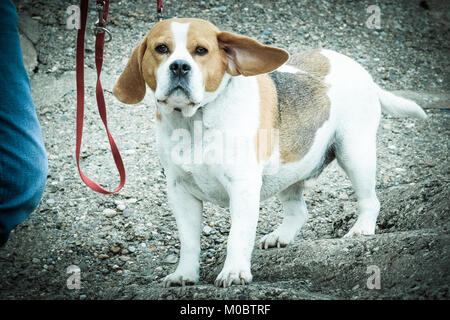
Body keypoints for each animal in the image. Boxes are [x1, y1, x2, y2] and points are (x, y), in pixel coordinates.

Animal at [111, 17, 426, 288]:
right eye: (161, 49)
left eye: (201, 50)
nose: (179, 66)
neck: (194, 122)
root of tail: (360, 70)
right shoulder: (180, 192)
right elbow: (189, 241)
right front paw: (184, 275)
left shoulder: (243, 188)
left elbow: (237, 236)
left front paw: (234, 272)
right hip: (289, 170)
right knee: (299, 211)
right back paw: (281, 236)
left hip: (355, 153)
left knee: (370, 201)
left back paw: (362, 229)